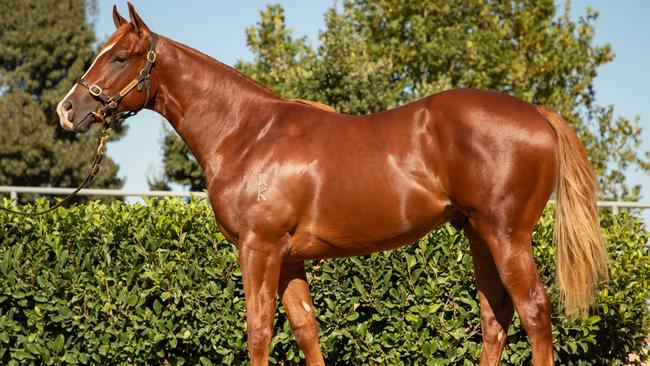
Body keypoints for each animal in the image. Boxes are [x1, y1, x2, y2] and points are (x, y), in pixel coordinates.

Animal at [57, 4, 608, 364]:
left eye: (120, 58)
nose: (68, 110)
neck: (248, 132)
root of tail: (536, 113)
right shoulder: (288, 258)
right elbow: (306, 329)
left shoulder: (259, 249)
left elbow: (258, 331)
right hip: (479, 235)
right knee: (496, 317)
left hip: (506, 235)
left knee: (535, 313)